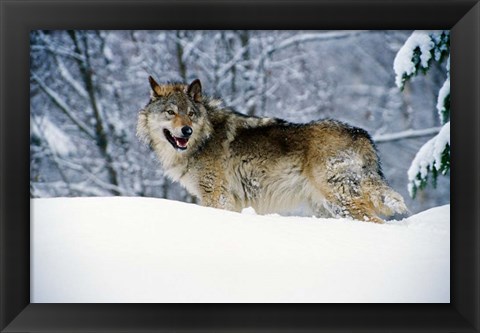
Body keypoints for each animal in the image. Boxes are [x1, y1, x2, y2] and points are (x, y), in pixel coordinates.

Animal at [137, 77, 406, 223]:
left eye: (191, 114)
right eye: (170, 112)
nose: (186, 131)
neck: (203, 138)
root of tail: (361, 133)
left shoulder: (217, 196)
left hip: (340, 201)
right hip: (329, 208)